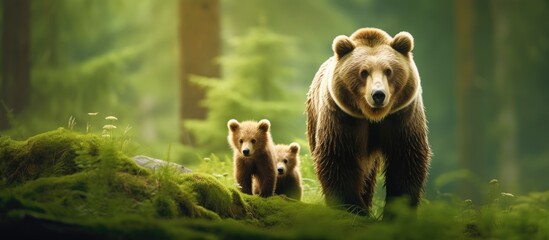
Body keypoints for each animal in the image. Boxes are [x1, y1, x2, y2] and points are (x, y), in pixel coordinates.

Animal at [306, 27, 430, 216]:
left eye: (388, 70)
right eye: (363, 72)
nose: (378, 94)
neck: (373, 117)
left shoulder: (402, 116)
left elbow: (406, 157)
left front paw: (398, 209)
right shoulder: (343, 118)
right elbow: (340, 158)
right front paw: (353, 208)